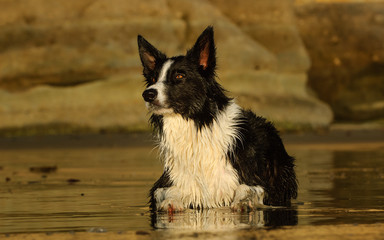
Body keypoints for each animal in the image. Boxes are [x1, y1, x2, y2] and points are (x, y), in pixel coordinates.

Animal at [138, 26, 296, 212]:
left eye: (179, 76)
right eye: (153, 79)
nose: (147, 94)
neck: (197, 126)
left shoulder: (261, 184)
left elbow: (247, 188)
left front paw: (243, 201)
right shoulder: (166, 181)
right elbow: (168, 190)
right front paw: (171, 201)